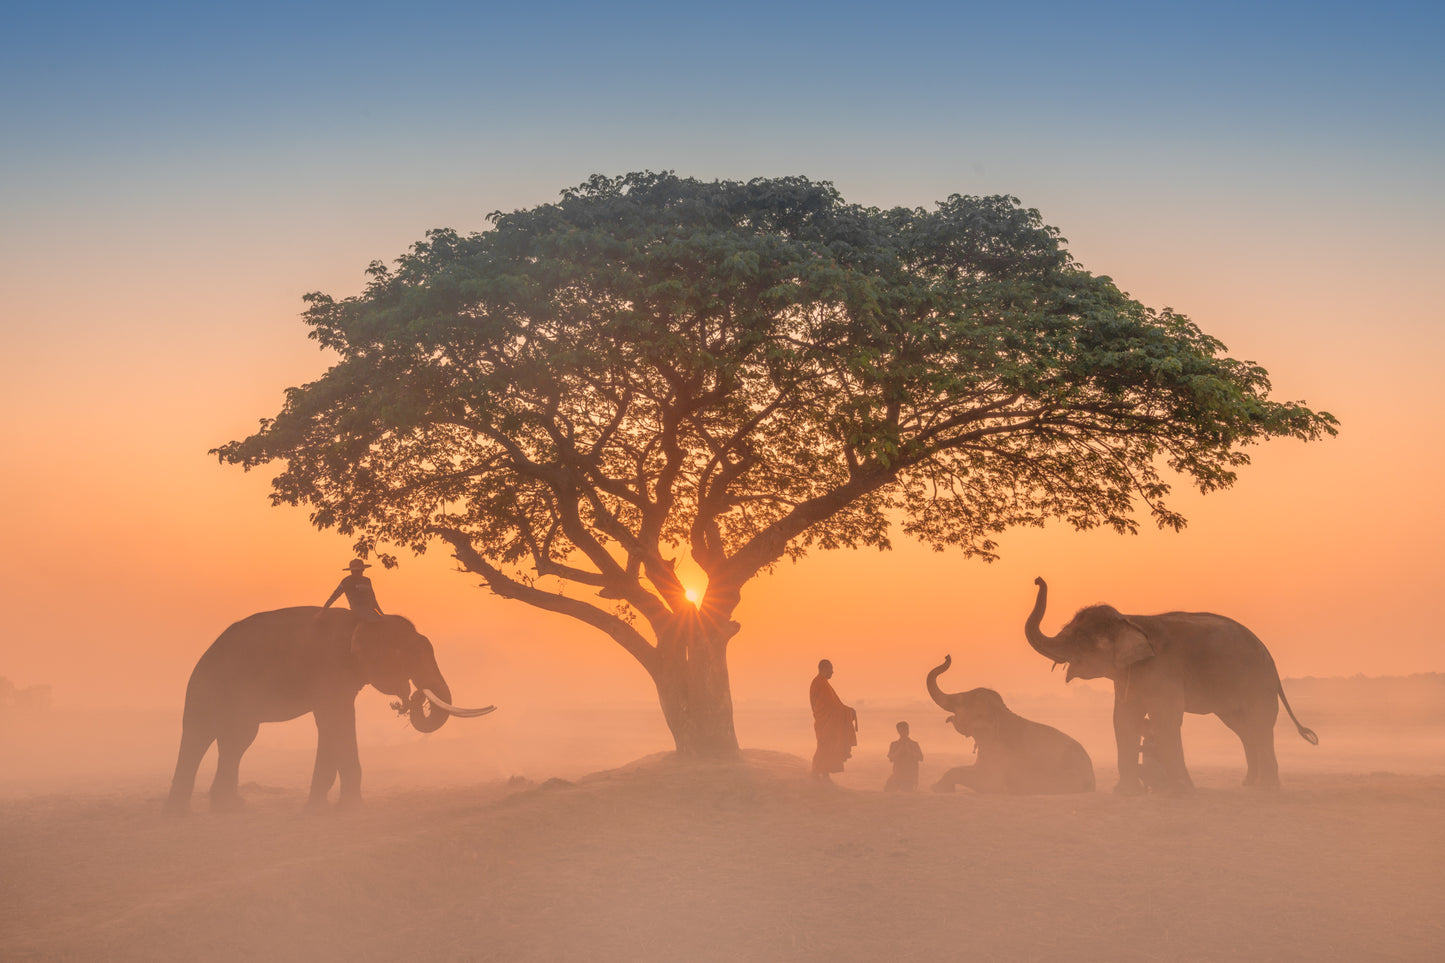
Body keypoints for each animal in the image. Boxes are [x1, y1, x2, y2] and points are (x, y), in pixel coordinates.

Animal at [166, 607, 494, 813]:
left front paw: (318, 807)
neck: (364, 619)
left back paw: (230, 807)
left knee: (236, 742)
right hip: (209, 689)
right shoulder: (329, 668)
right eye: (410, 654)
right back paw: (180, 812)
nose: (412, 696)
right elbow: (336, 721)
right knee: (200, 737)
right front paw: (349, 809)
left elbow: (330, 726)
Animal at [926, 655, 1095, 794]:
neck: (1000, 711)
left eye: (961, 702)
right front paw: (936, 787)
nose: (947, 657)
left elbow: (988, 783)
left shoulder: (999, 753)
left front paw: (938, 788)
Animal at [1023, 577, 1317, 794]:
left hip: (1258, 682)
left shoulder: (1163, 671)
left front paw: (1182, 790)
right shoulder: (1129, 676)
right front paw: (1125, 793)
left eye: (1081, 638)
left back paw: (1268, 788)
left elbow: (1165, 718)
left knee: (1259, 725)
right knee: (1243, 728)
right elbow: (1124, 719)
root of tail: (1270, 659)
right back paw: (1250, 785)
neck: (1130, 619)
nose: (1037, 579)